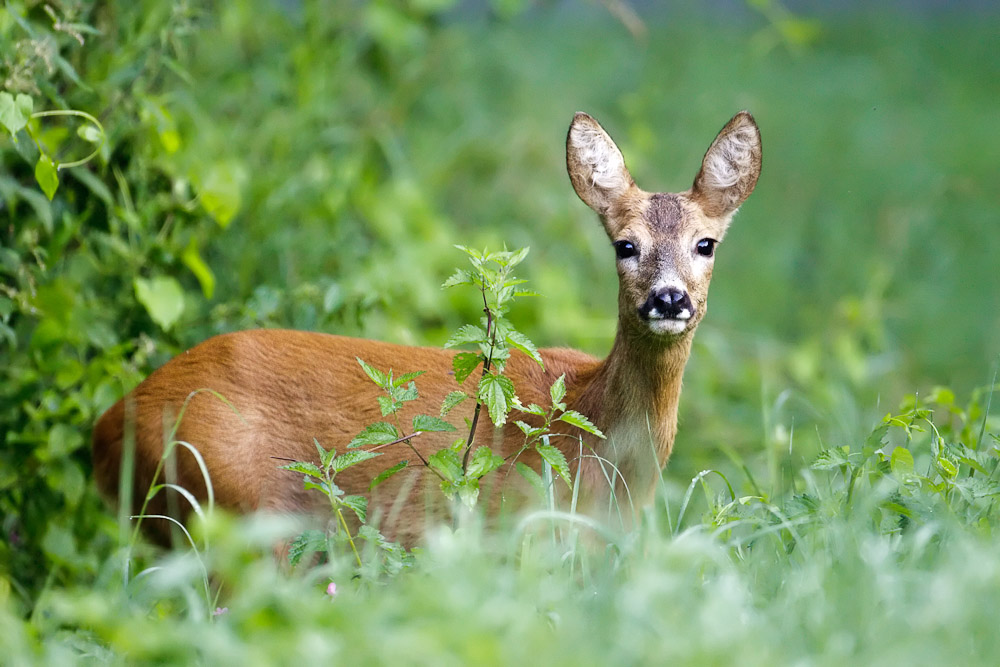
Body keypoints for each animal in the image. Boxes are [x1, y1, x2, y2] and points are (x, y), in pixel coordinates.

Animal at [94, 109, 760, 548]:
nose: (669, 298)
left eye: (706, 243)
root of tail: (108, 427)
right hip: (230, 506)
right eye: (625, 245)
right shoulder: (513, 529)